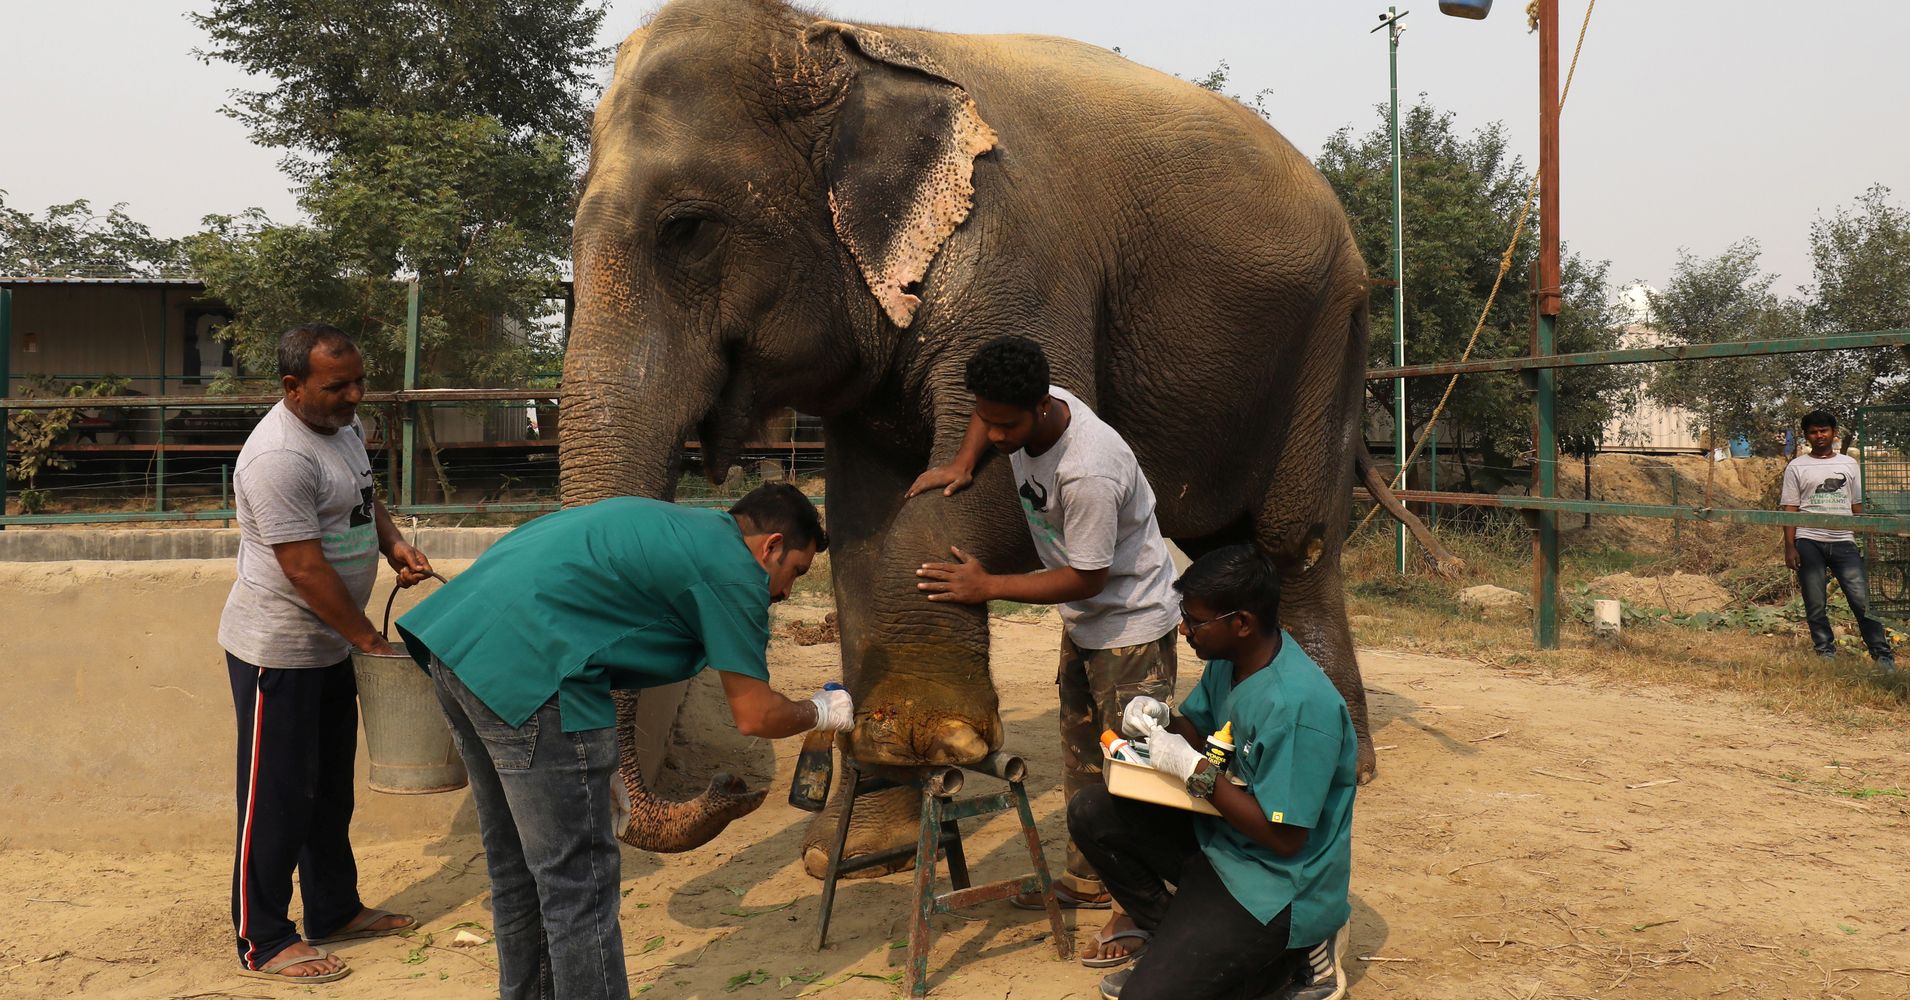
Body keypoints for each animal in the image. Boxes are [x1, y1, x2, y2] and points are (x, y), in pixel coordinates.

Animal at [557, 0, 1413, 862]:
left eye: (687, 228)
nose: (733, 788)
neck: (833, 36)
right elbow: (863, 524)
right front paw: (857, 846)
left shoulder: (1015, 250)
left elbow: (983, 488)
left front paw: (926, 737)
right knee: (1223, 543)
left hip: (1331, 334)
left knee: (1292, 542)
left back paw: (1344, 766)